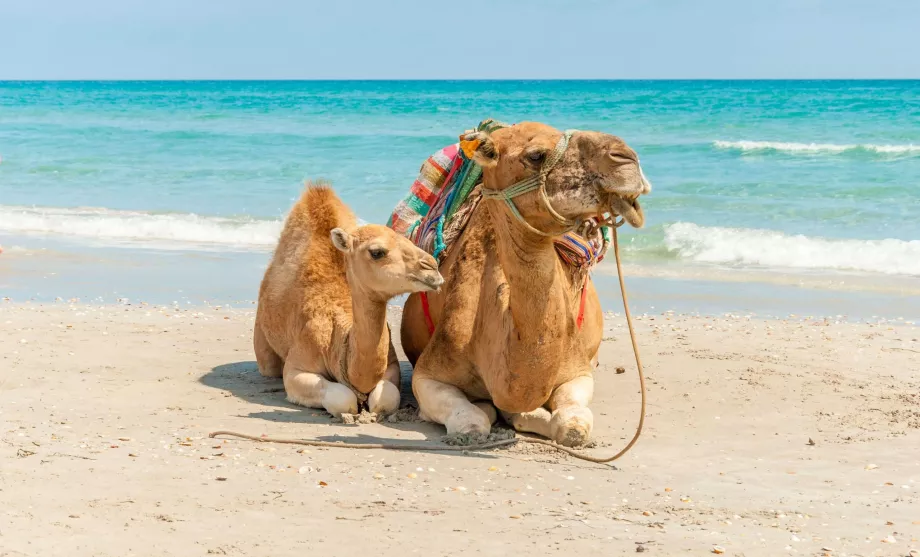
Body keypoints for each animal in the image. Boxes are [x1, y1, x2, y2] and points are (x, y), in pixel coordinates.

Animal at [253, 185, 444, 414]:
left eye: (410, 240)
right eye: (377, 252)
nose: (432, 268)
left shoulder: (392, 365)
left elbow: (386, 398)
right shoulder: (297, 366)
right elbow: (343, 398)